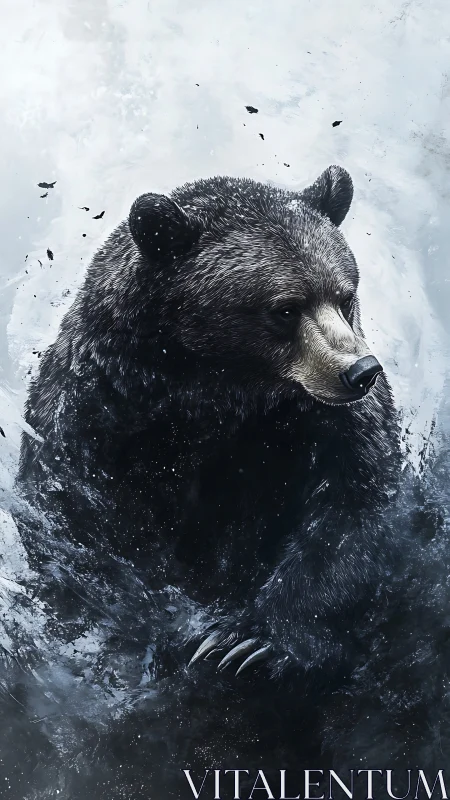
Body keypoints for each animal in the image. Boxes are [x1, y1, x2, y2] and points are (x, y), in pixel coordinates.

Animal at [17, 165, 401, 680]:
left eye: (345, 296)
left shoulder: (322, 422)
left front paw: (249, 641)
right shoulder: (92, 412)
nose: (361, 370)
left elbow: (354, 504)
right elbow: (82, 529)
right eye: (285, 308)